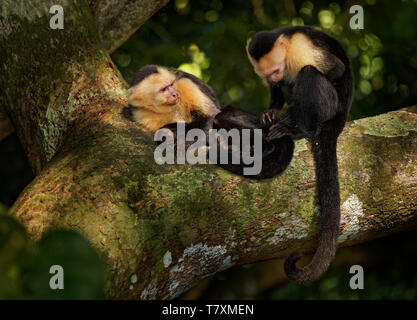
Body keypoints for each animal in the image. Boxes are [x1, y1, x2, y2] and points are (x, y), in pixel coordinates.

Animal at [123, 64, 292, 180]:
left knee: (220, 116)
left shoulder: (183, 84)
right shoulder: (141, 114)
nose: (174, 94)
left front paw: (184, 144)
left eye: (170, 85)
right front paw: (169, 136)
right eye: (163, 89)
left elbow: (208, 117)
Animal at [247, 26, 354, 284]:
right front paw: (271, 110)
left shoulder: (300, 48)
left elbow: (336, 69)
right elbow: (277, 91)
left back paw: (300, 128)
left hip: (331, 106)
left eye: (275, 70)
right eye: (269, 74)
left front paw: (288, 114)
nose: (275, 77)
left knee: (309, 74)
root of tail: (344, 110)